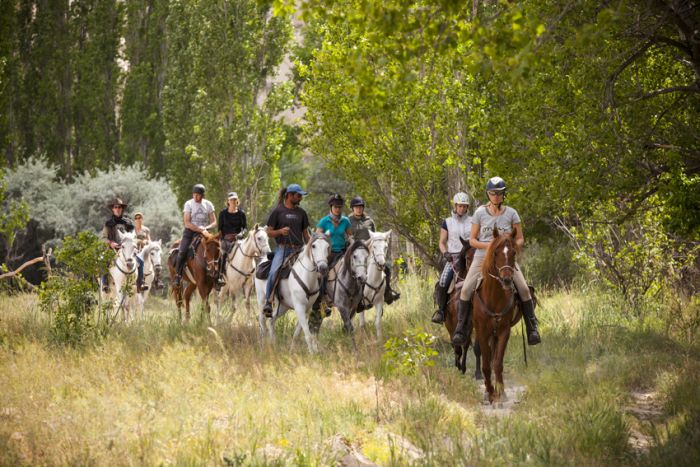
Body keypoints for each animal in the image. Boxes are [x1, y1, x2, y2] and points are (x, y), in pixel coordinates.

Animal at [442, 238, 482, 380]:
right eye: (468, 258)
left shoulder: (473, 322)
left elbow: (472, 346)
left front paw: (476, 372)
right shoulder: (451, 322)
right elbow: (456, 345)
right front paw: (458, 367)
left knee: (465, 343)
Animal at [474, 229, 524, 404]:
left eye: (514, 252)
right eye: (496, 253)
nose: (507, 280)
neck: (494, 297)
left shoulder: (503, 331)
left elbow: (497, 363)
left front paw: (500, 393)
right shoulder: (482, 332)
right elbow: (486, 364)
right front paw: (490, 393)